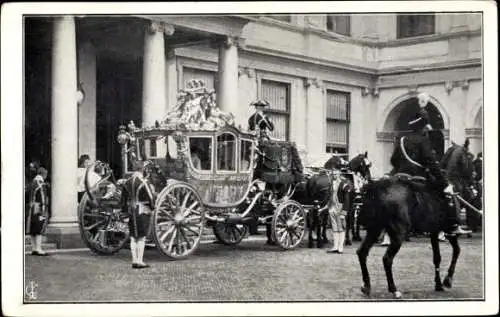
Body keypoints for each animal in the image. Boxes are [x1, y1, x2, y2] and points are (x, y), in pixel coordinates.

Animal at [356, 139, 472, 298]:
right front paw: (447, 280)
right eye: (470, 157)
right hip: (398, 233)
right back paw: (394, 289)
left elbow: (437, 257)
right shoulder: (449, 231)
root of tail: (378, 188)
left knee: (362, 253)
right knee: (387, 259)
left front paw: (438, 284)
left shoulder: (434, 232)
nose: (474, 177)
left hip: (374, 229)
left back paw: (366, 286)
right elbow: (457, 251)